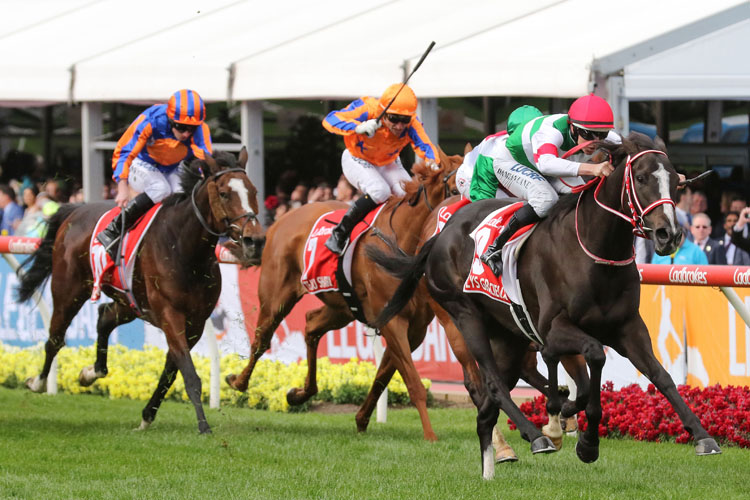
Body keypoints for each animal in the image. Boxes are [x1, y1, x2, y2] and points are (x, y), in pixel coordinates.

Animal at [16, 148, 266, 434]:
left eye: (254, 191)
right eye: (224, 193)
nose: (255, 240)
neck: (184, 248)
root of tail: (75, 209)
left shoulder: (195, 321)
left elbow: (172, 370)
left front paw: (147, 416)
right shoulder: (170, 314)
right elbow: (189, 373)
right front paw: (204, 426)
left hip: (130, 301)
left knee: (104, 317)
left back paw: (91, 373)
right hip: (69, 290)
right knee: (55, 338)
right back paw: (38, 382)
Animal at [225, 146, 464, 440]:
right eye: (454, 190)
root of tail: (282, 220)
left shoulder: (415, 328)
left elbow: (383, 376)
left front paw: (362, 419)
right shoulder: (392, 321)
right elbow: (412, 381)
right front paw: (430, 435)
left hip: (342, 308)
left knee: (311, 325)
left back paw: (300, 393)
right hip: (276, 296)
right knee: (261, 339)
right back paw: (237, 381)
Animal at [370, 135, 724, 478]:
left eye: (675, 182)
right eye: (640, 178)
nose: (669, 235)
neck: (596, 252)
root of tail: (439, 235)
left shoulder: (628, 328)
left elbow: (660, 376)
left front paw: (702, 436)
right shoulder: (554, 329)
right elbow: (593, 359)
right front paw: (583, 439)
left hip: (508, 338)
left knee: (487, 407)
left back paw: (494, 464)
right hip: (464, 316)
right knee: (492, 384)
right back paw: (535, 436)